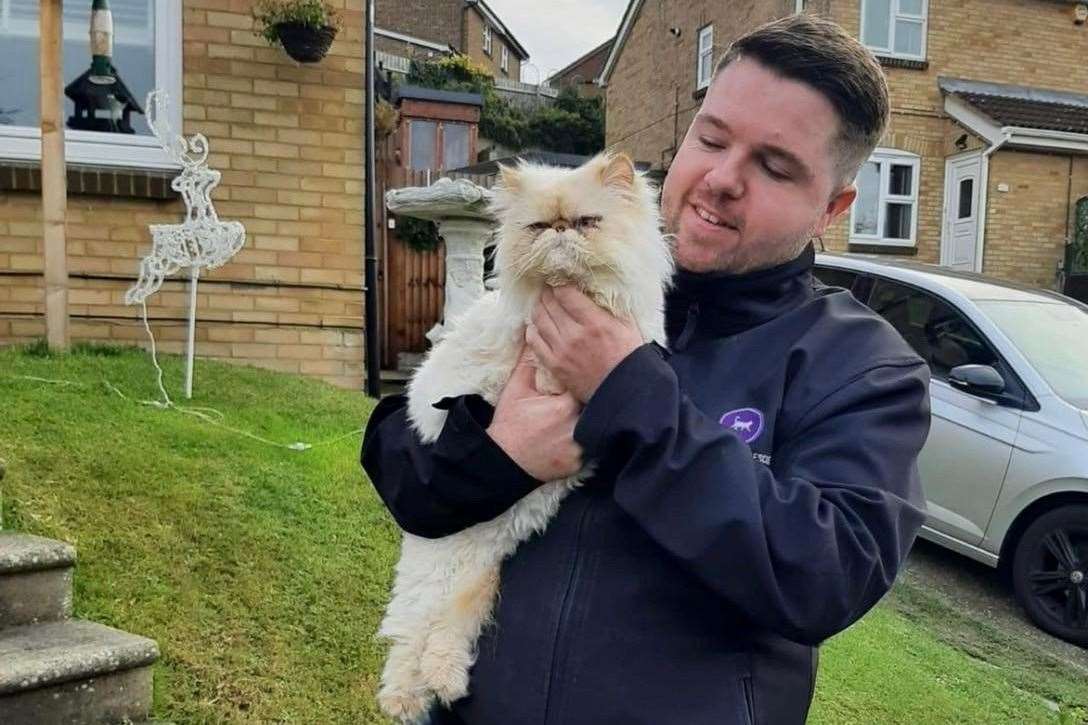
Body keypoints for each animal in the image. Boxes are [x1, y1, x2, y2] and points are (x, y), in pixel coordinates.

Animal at [378, 151, 674, 718]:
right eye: (539, 227)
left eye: (586, 223)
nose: (559, 231)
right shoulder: (528, 353)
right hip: (436, 572)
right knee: (408, 637)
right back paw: (404, 700)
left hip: (478, 572)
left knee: (443, 634)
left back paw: (445, 682)